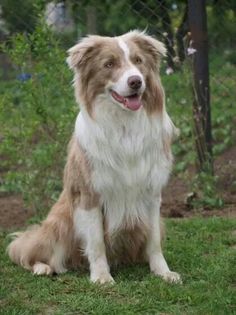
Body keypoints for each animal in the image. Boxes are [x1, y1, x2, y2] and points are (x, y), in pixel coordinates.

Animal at [7, 30, 181, 286]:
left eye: (138, 61)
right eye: (109, 64)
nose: (136, 81)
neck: (124, 125)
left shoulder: (152, 194)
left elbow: (154, 240)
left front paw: (162, 271)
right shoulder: (89, 194)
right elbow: (96, 242)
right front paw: (101, 276)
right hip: (60, 222)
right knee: (30, 251)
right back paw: (43, 267)